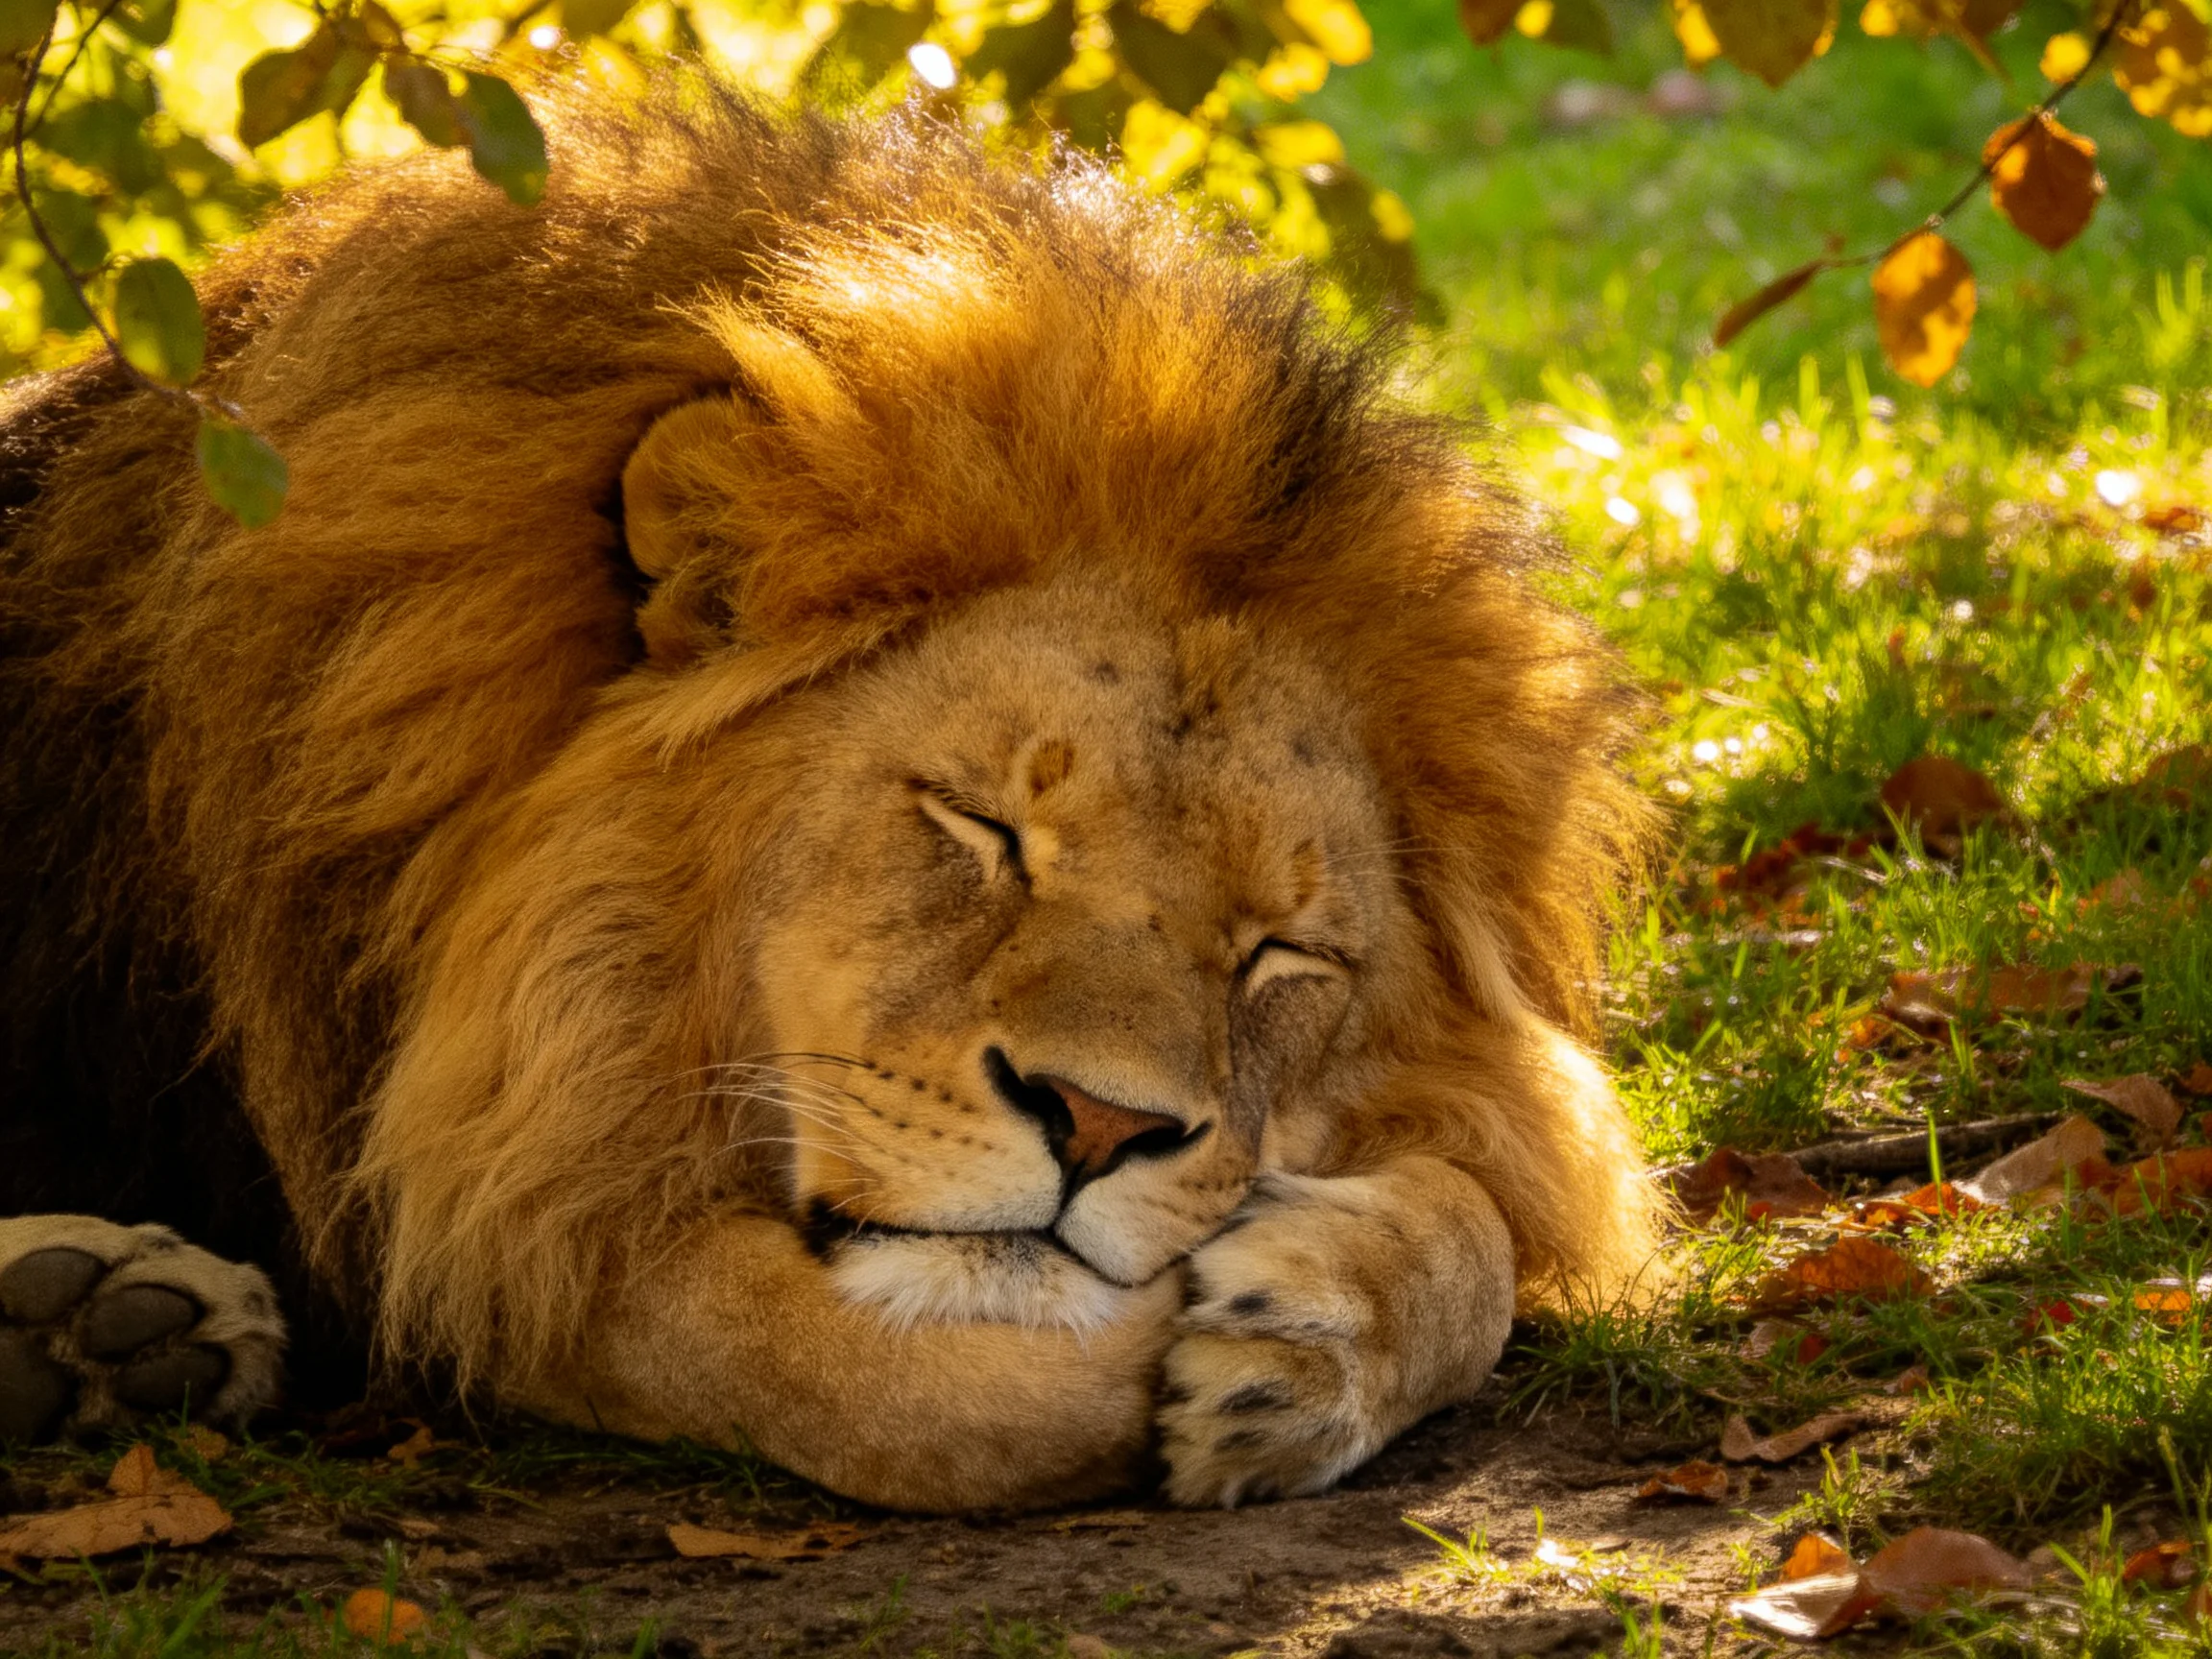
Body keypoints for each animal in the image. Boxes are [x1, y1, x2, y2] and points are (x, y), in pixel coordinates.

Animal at [0, 80, 1658, 1511]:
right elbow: (937, 1405)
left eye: (1281, 955)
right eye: (983, 828)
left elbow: (1510, 1201)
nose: (1099, 1127)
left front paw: (1327, 1328)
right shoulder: (511, 1201)